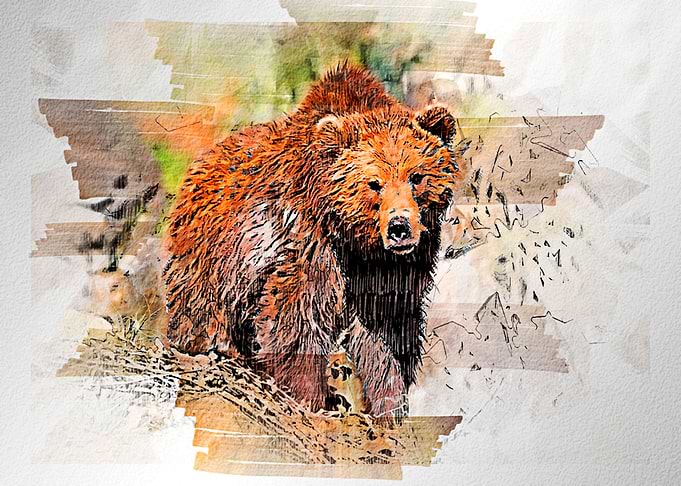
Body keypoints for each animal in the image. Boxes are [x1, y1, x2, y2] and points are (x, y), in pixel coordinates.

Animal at [163, 63, 469, 420]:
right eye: (374, 183)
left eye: (416, 176)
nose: (399, 227)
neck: (356, 240)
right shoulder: (310, 243)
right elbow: (298, 317)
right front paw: (312, 399)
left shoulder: (394, 267)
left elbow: (388, 331)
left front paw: (389, 406)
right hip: (214, 257)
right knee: (200, 309)